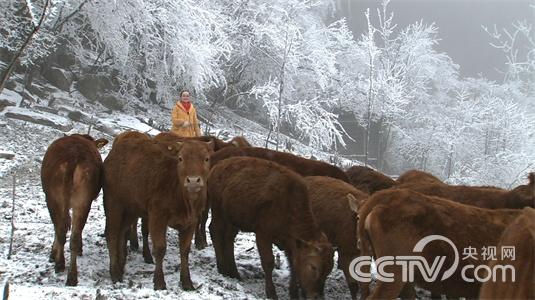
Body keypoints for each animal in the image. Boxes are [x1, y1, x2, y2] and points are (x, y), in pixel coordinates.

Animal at [40, 134, 108, 286]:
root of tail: (73, 157)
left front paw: (52, 254)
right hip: (83, 199)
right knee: (74, 234)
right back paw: (72, 276)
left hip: (54, 197)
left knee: (61, 228)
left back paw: (60, 264)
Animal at [102, 132, 214, 290]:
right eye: (180, 158)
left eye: (206, 158)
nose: (193, 181)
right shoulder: (157, 217)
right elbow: (160, 248)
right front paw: (159, 282)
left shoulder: (191, 222)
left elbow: (184, 251)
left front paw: (187, 282)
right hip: (114, 203)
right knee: (111, 233)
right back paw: (115, 272)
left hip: (131, 208)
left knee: (122, 232)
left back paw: (121, 265)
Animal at [207, 157, 332, 298]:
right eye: (313, 267)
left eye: (328, 271)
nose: (317, 296)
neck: (289, 203)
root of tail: (217, 167)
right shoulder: (263, 235)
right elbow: (268, 262)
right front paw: (271, 293)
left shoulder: (290, 243)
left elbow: (293, 266)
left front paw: (293, 293)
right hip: (218, 210)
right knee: (215, 231)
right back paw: (222, 269)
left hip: (233, 218)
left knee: (229, 238)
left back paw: (234, 273)